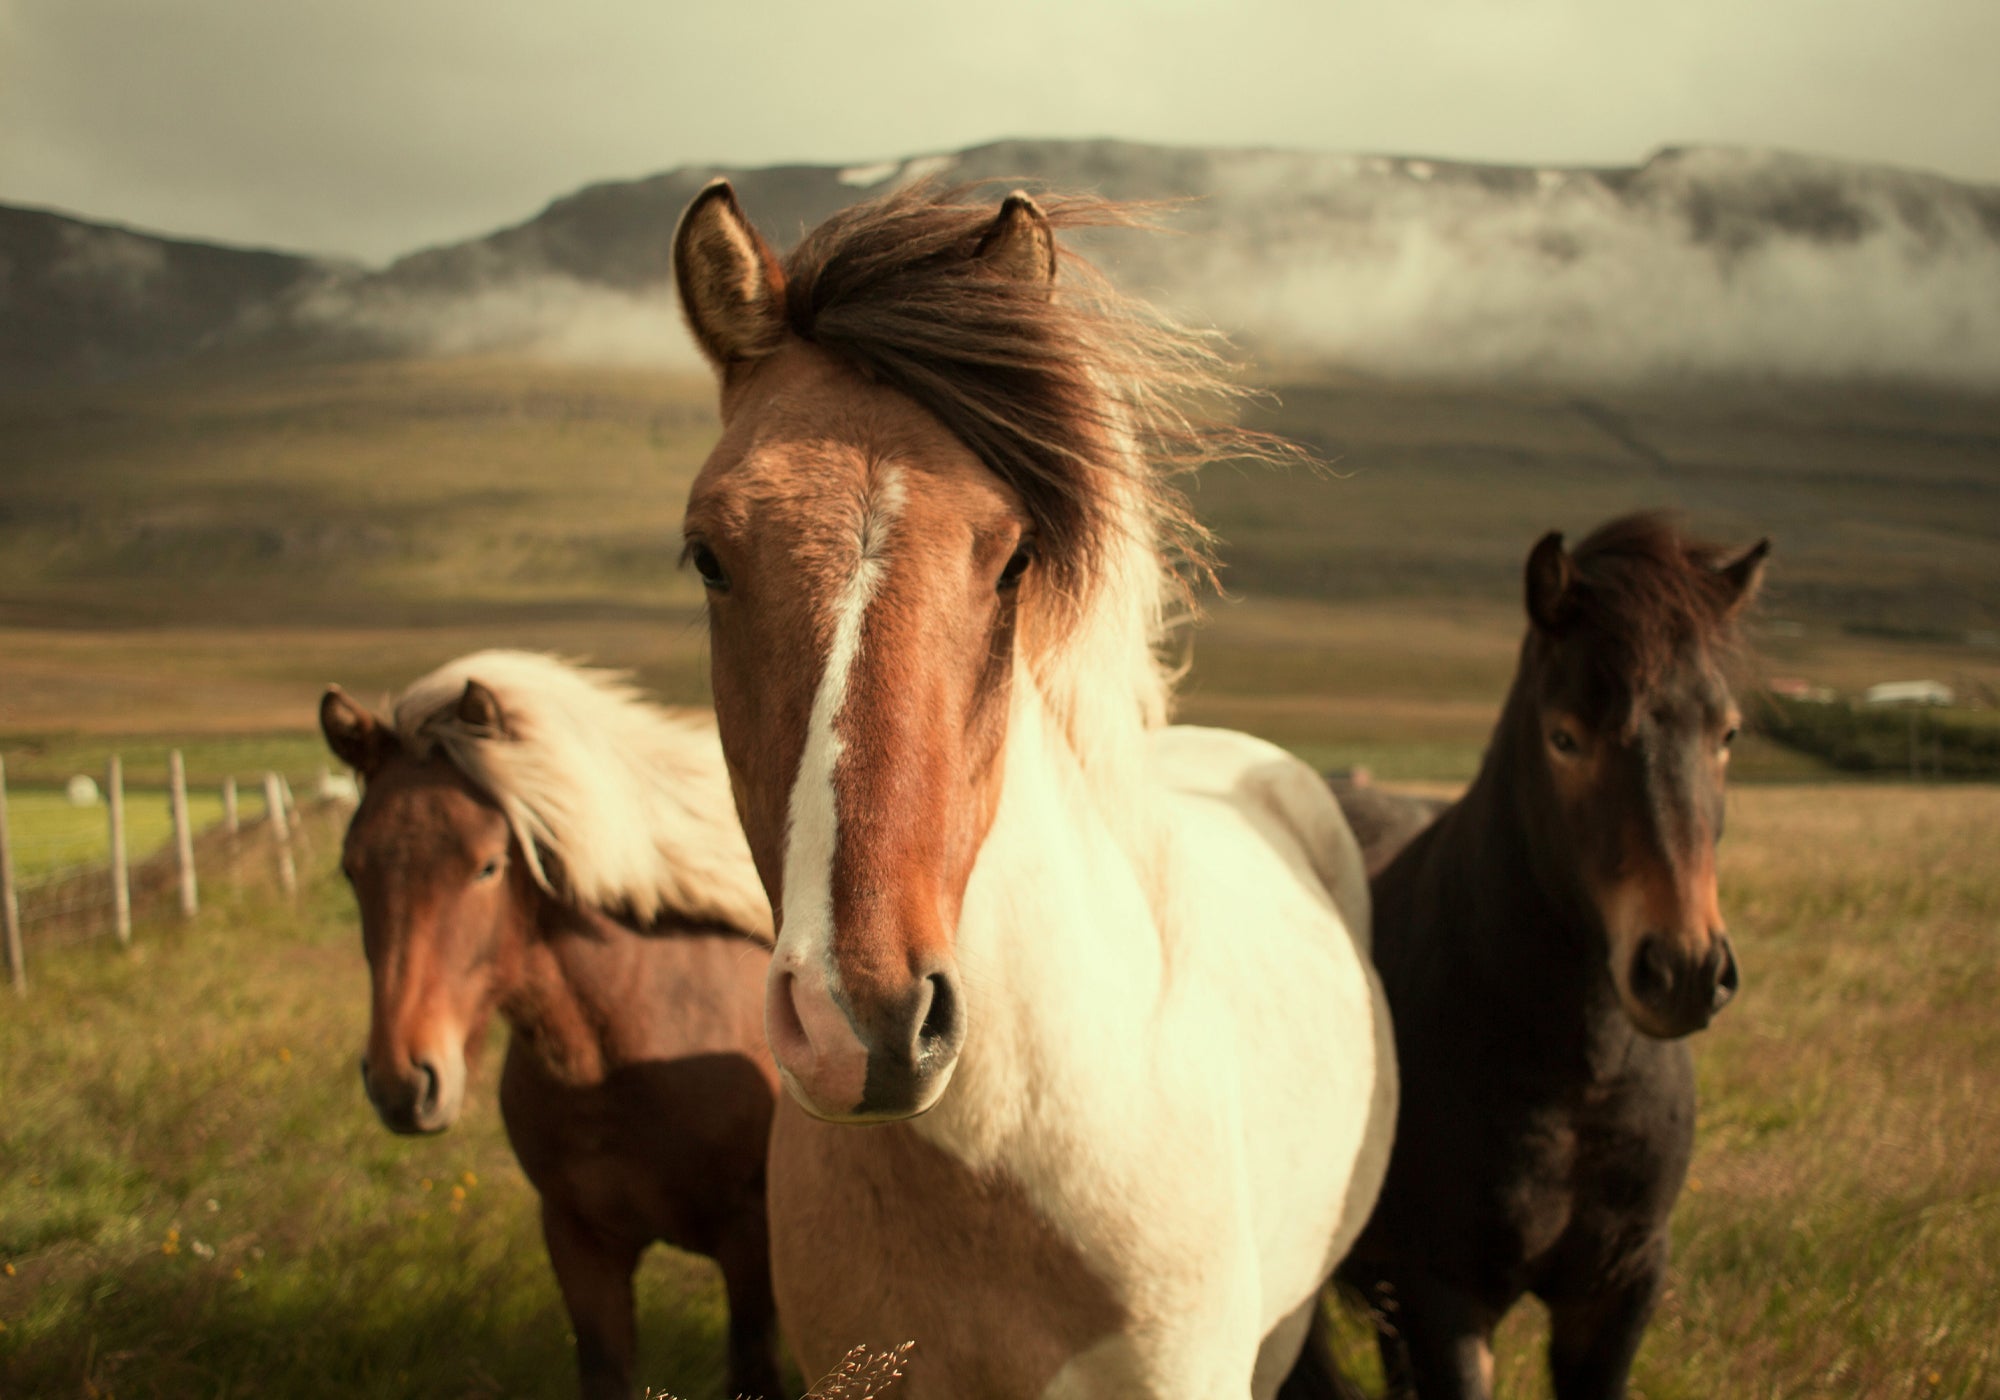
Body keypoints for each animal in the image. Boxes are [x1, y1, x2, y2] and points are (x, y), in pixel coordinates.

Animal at [318, 651, 784, 1400]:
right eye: (351, 867)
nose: (402, 1082)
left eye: (487, 865)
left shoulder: (749, 1244)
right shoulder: (578, 1242)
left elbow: (755, 1369)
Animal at [1334, 515, 1769, 1400]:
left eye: (1728, 734)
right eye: (1565, 736)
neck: (1578, 1078)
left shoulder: (1617, 1291)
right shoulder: (1446, 1296)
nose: (1684, 972)